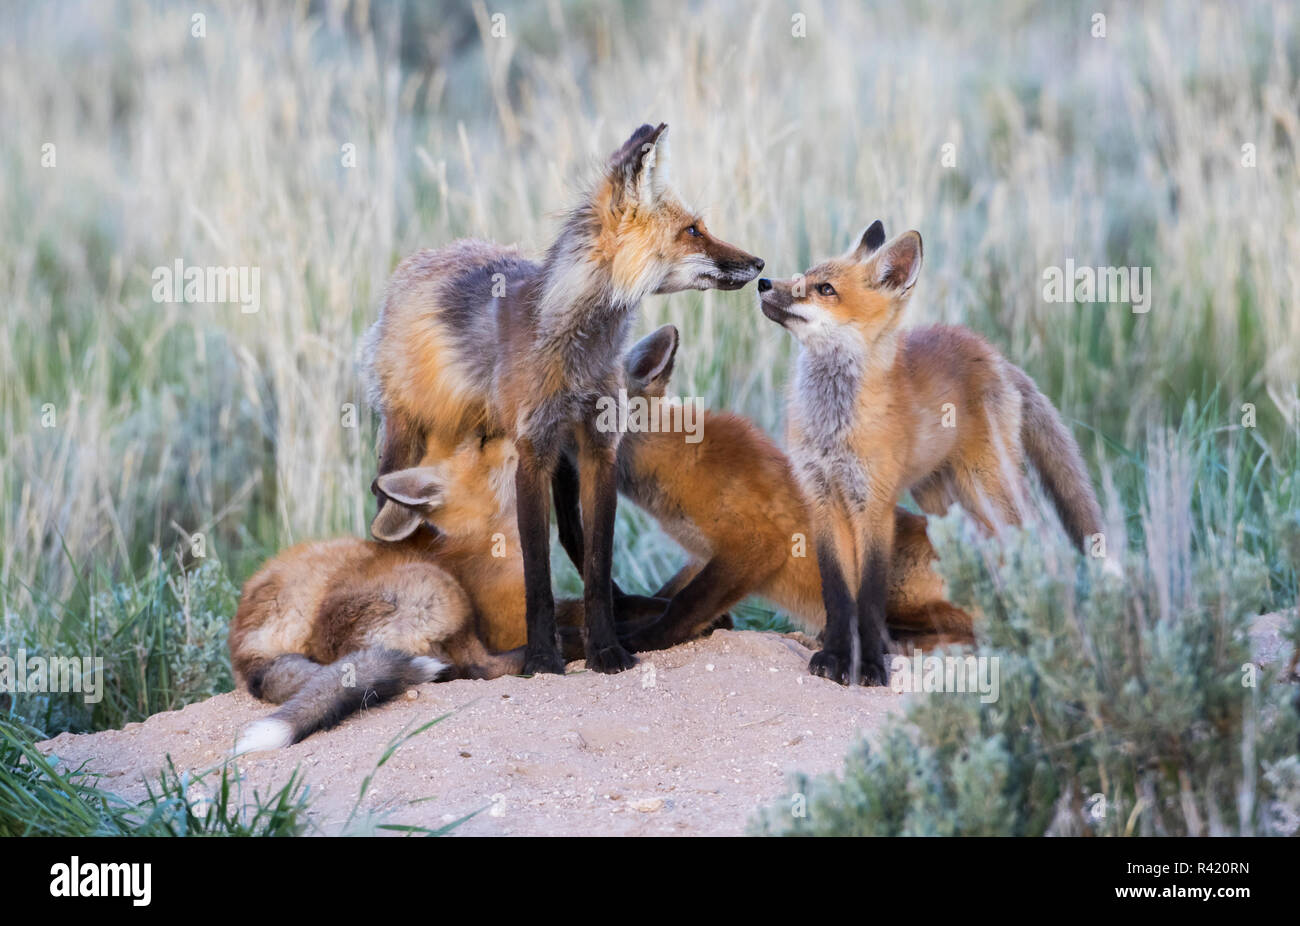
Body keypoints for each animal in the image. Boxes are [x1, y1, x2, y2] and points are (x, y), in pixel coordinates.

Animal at [362, 122, 765, 676]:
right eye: (692, 231)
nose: (759, 263)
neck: (579, 352)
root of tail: (426, 257)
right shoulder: (531, 451)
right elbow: (537, 574)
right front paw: (541, 658)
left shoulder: (597, 447)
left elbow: (594, 562)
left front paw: (607, 649)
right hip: (406, 437)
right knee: (386, 508)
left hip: (564, 462)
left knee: (575, 538)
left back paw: (627, 608)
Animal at [609, 325, 975, 653]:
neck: (670, 459)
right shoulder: (702, 553)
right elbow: (664, 595)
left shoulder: (754, 542)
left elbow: (683, 606)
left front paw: (640, 643)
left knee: (961, 631)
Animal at [758, 220, 1102, 686]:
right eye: (805, 275)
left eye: (824, 288)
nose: (762, 282)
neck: (833, 422)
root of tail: (993, 354)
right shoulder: (822, 498)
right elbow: (838, 592)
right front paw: (834, 656)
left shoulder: (875, 505)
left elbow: (869, 595)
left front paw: (870, 664)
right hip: (943, 503)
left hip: (991, 491)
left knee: (1042, 546)